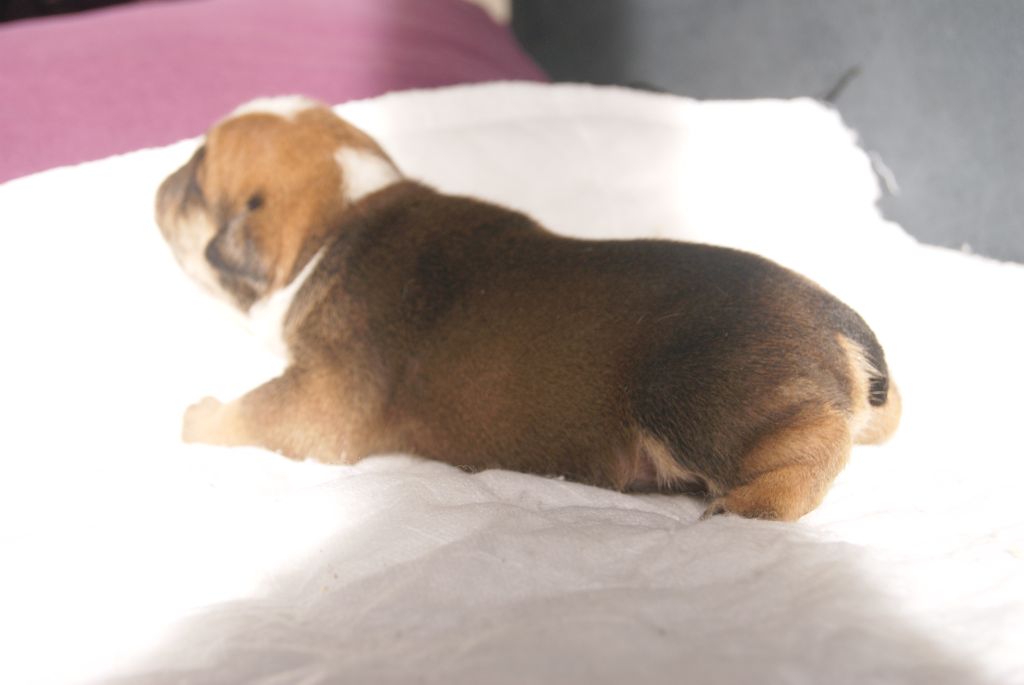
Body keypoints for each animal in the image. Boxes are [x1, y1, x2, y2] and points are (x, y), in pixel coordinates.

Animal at [155, 96, 901, 521]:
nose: (158, 185)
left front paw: (198, 419)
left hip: (693, 390)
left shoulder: (319, 402)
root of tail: (839, 325)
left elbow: (254, 412)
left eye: (194, 179)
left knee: (810, 445)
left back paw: (749, 504)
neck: (341, 217)